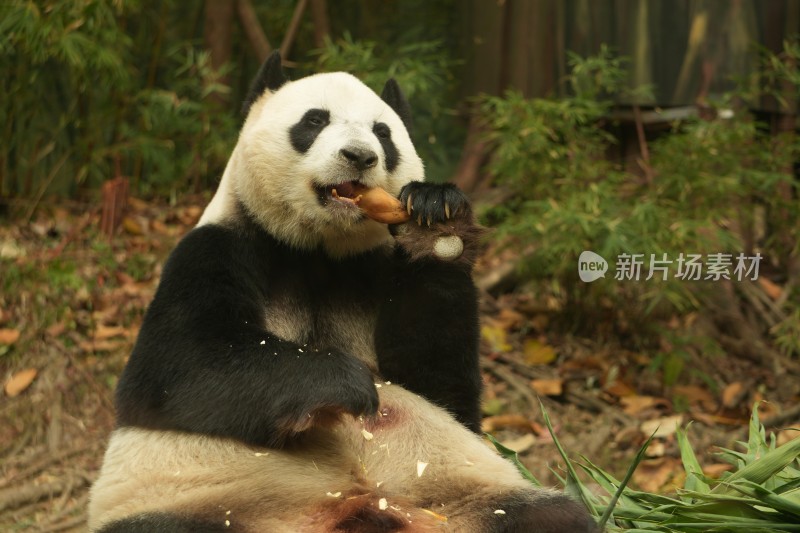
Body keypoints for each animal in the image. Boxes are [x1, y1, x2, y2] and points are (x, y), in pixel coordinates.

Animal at [89, 51, 600, 532]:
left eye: (384, 134)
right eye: (314, 121)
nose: (360, 156)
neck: (319, 250)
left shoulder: (374, 268)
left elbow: (444, 388)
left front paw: (436, 221)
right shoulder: (219, 248)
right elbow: (177, 365)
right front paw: (344, 385)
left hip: (464, 497)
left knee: (549, 516)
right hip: (210, 502)